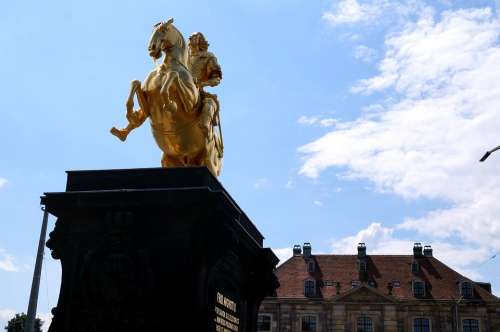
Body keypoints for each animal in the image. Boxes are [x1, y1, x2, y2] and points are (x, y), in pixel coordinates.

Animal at [113, 19, 225, 176]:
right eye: (153, 30)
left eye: (163, 30)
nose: (151, 48)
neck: (165, 67)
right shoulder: (147, 106)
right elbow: (135, 83)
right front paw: (131, 116)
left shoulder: (190, 103)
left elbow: (173, 76)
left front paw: (170, 104)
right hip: (169, 160)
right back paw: (121, 132)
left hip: (209, 162)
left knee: (209, 101)